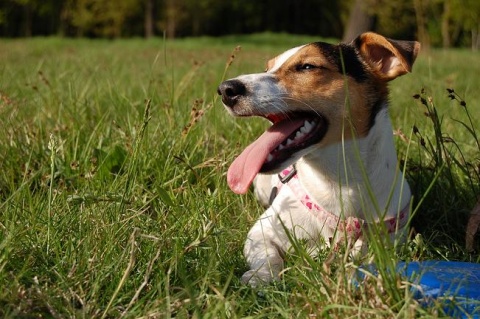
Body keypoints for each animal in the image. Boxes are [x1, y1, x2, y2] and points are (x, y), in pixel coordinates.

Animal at [218, 33, 420, 288]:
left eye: (307, 67)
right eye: (268, 68)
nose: (225, 89)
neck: (338, 183)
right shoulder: (263, 231)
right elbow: (268, 255)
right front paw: (260, 277)